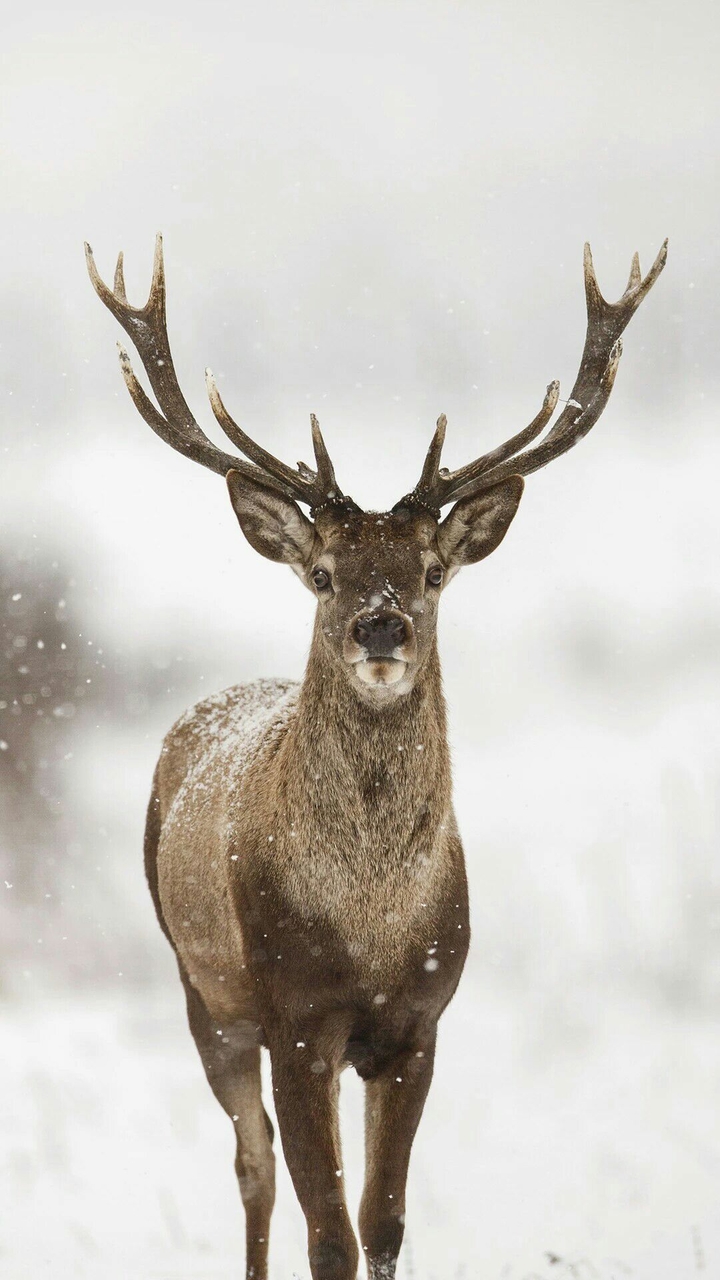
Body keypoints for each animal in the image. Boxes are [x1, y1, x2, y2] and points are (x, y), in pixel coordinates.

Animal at [86, 234, 666, 1280]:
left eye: (432, 571)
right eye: (323, 574)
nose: (381, 625)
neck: (369, 925)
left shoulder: (419, 1022)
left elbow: (385, 1222)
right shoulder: (295, 1017)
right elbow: (331, 1233)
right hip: (202, 988)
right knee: (252, 1165)